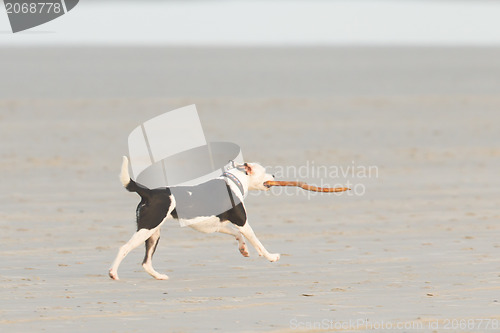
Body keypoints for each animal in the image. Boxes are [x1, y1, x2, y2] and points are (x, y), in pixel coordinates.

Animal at [109, 156, 280, 280]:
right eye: (264, 171)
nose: (273, 175)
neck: (234, 181)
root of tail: (149, 192)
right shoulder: (242, 222)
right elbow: (258, 243)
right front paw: (271, 257)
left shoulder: (219, 225)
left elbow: (237, 234)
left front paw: (243, 249)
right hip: (147, 228)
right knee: (124, 248)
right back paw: (113, 273)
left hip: (153, 233)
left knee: (146, 262)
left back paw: (159, 276)